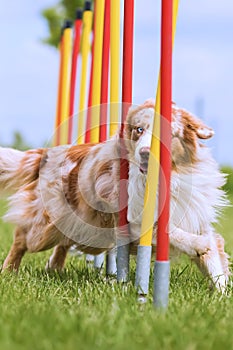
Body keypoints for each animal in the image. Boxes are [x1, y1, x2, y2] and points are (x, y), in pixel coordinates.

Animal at [0, 100, 229, 292]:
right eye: (139, 130)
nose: (145, 152)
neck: (169, 180)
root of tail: (47, 154)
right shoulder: (133, 221)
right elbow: (170, 231)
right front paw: (198, 245)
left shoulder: (197, 219)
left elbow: (214, 259)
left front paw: (221, 294)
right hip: (46, 229)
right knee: (21, 238)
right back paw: (9, 270)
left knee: (64, 242)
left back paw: (53, 267)